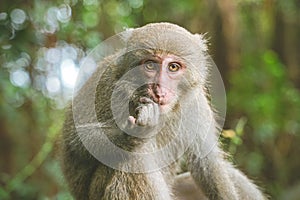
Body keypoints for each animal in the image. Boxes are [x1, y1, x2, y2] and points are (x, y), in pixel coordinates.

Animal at [59, 22, 266, 199]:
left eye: (173, 67)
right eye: (150, 65)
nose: (159, 90)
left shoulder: (195, 103)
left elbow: (207, 162)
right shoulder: (112, 89)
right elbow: (77, 142)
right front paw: (133, 134)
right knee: (133, 159)